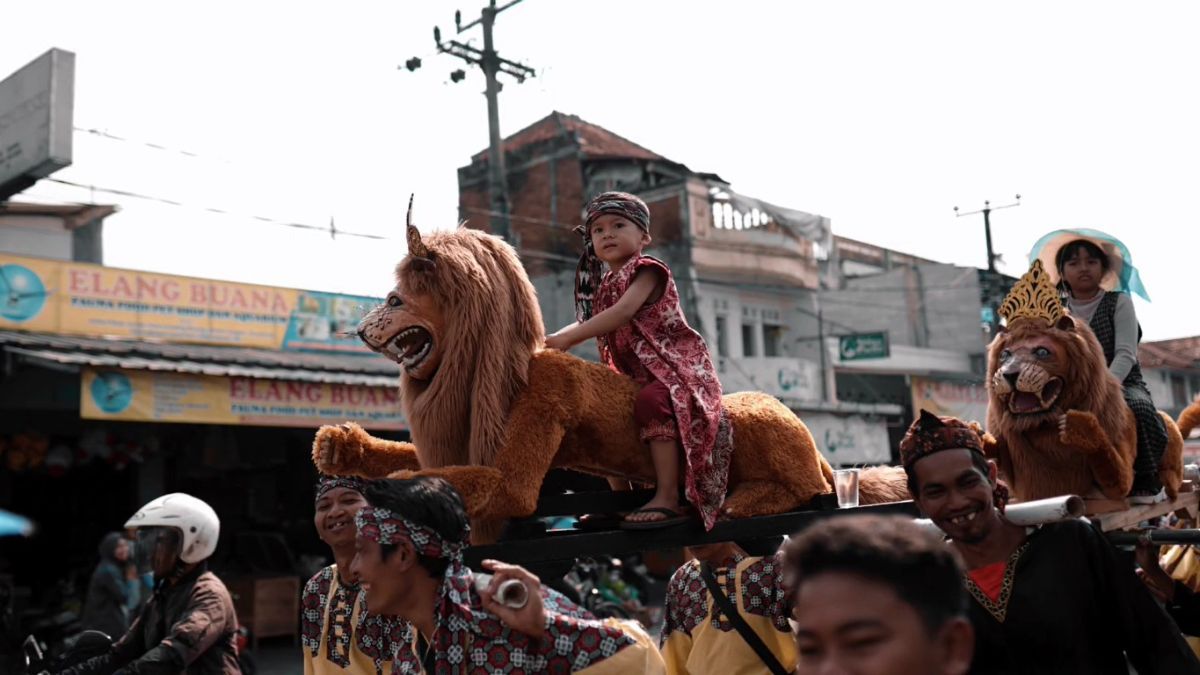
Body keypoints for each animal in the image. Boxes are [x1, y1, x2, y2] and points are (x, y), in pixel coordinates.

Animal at [314, 205, 902, 540]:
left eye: (395, 299)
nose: (358, 330)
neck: (497, 372)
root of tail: (820, 449)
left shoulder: (534, 423)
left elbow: (487, 482)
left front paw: (404, 490)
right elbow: (415, 456)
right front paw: (339, 446)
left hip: (761, 425)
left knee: (807, 488)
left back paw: (729, 502)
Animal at [984, 305, 1180, 499]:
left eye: (1042, 352)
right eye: (1005, 354)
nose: (1009, 374)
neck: (1043, 425)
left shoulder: (1120, 477)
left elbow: (1111, 464)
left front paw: (1077, 426)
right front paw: (979, 437)